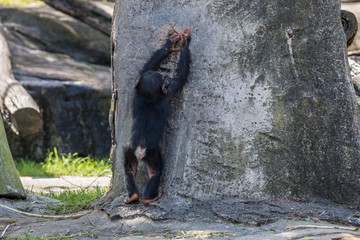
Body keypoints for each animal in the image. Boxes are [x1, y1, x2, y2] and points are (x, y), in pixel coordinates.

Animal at [123, 28, 191, 204]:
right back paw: (150, 197)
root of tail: (140, 149)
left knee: (129, 170)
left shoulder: (136, 92)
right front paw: (184, 43)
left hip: (128, 149)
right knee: (156, 173)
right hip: (152, 152)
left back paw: (132, 196)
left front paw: (170, 43)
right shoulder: (168, 94)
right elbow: (180, 77)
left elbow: (143, 70)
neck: (149, 99)